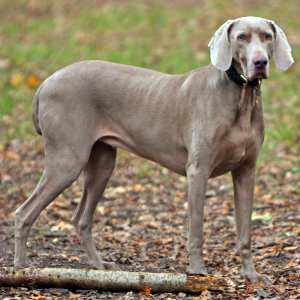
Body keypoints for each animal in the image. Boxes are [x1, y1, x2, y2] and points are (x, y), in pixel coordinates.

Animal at [14, 17, 292, 284]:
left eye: (267, 36)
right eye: (241, 37)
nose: (260, 62)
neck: (241, 97)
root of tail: (46, 82)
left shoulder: (246, 172)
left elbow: (245, 233)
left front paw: (252, 276)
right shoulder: (198, 171)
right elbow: (196, 232)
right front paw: (197, 273)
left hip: (102, 164)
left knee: (81, 219)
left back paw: (100, 266)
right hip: (68, 160)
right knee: (23, 212)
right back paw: (22, 267)